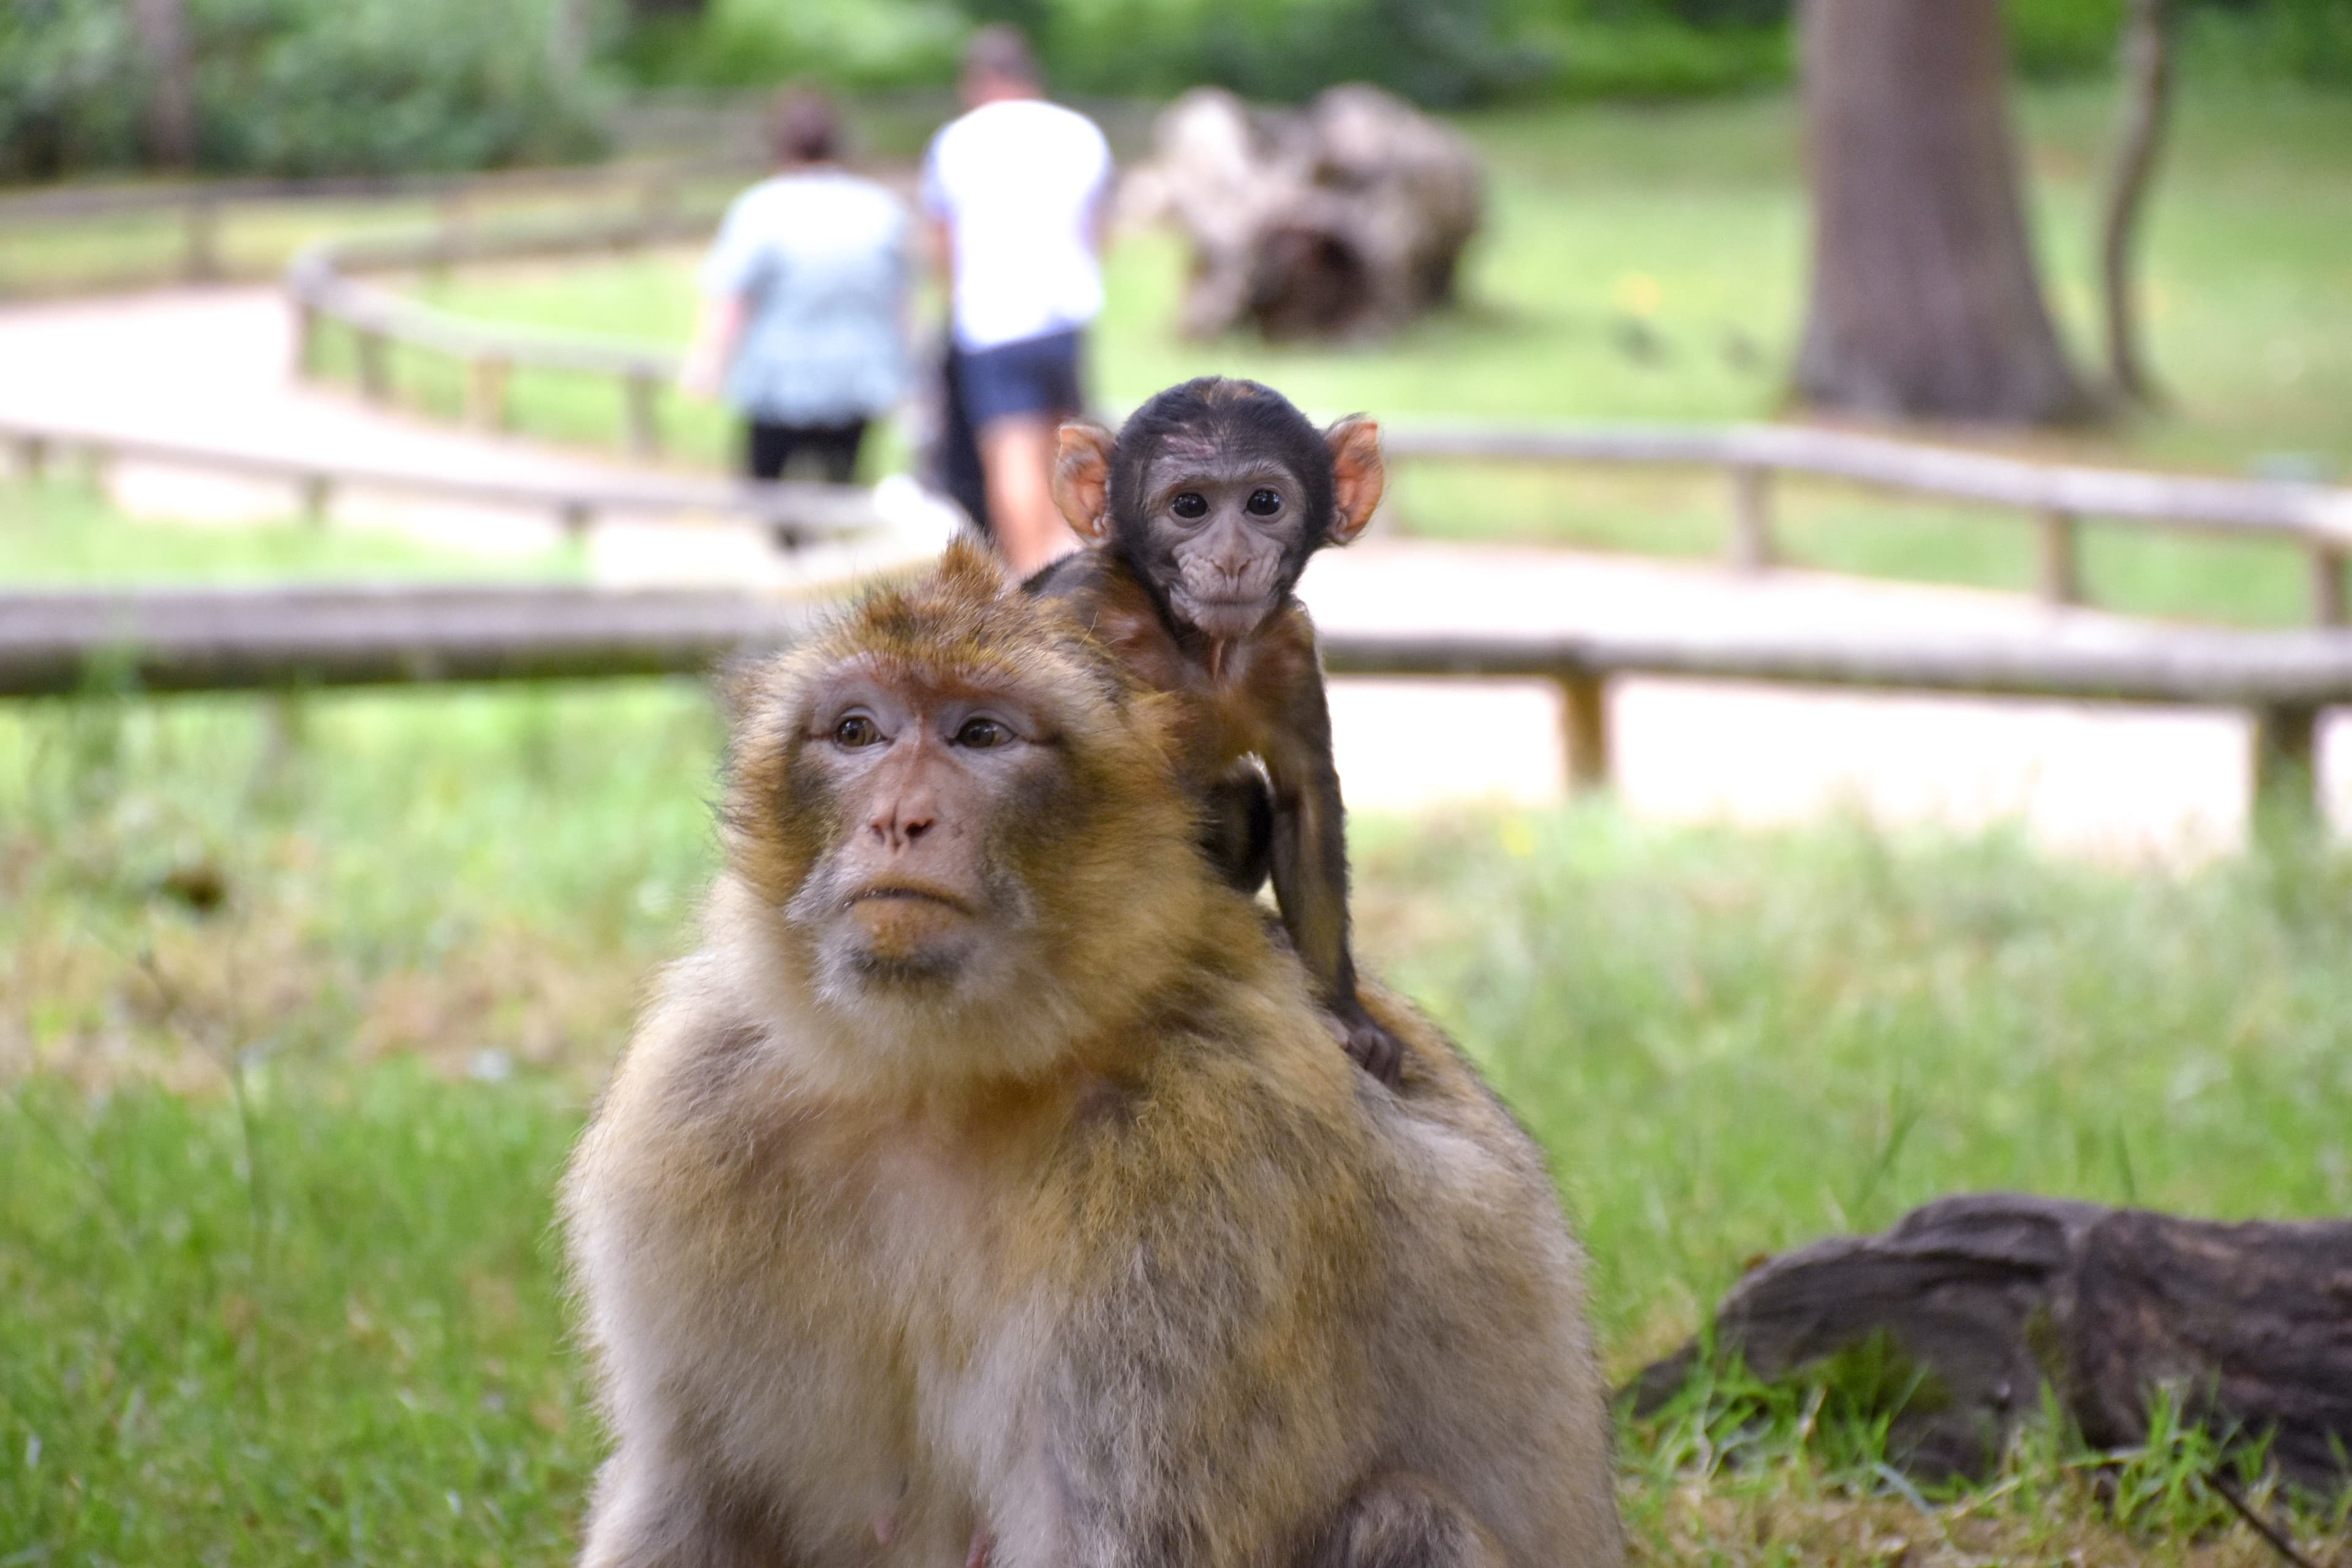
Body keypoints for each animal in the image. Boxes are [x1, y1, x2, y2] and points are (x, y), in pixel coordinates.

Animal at [561, 540, 1621, 1568]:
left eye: (982, 736)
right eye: (857, 732)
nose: (898, 820)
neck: (940, 1080)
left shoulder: (1207, 1174)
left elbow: (1122, 1534)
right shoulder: (698, 1101)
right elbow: (687, 1497)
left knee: (1406, 1518)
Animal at [1025, 375, 1404, 1085]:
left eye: (1264, 503)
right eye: (1190, 506)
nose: (1231, 557)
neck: (1197, 645)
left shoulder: (1287, 646)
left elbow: (1303, 798)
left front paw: (1346, 1013)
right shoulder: (1078, 607)